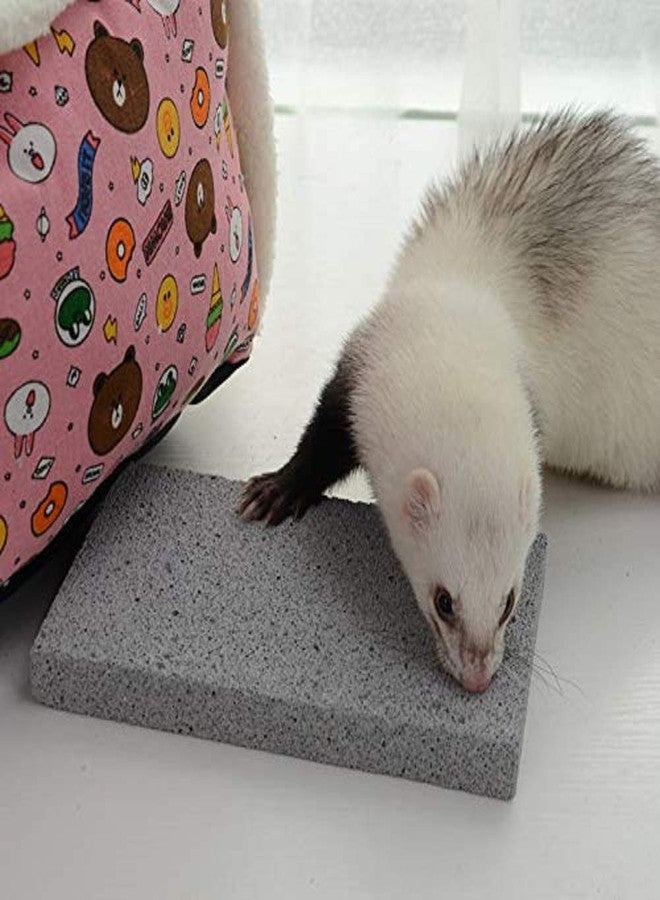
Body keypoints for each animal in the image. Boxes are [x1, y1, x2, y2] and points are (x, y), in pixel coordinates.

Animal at [240, 110, 660, 692]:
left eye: (509, 601)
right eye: (444, 601)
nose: (478, 678)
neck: (453, 326)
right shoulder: (355, 372)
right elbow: (321, 440)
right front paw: (277, 489)